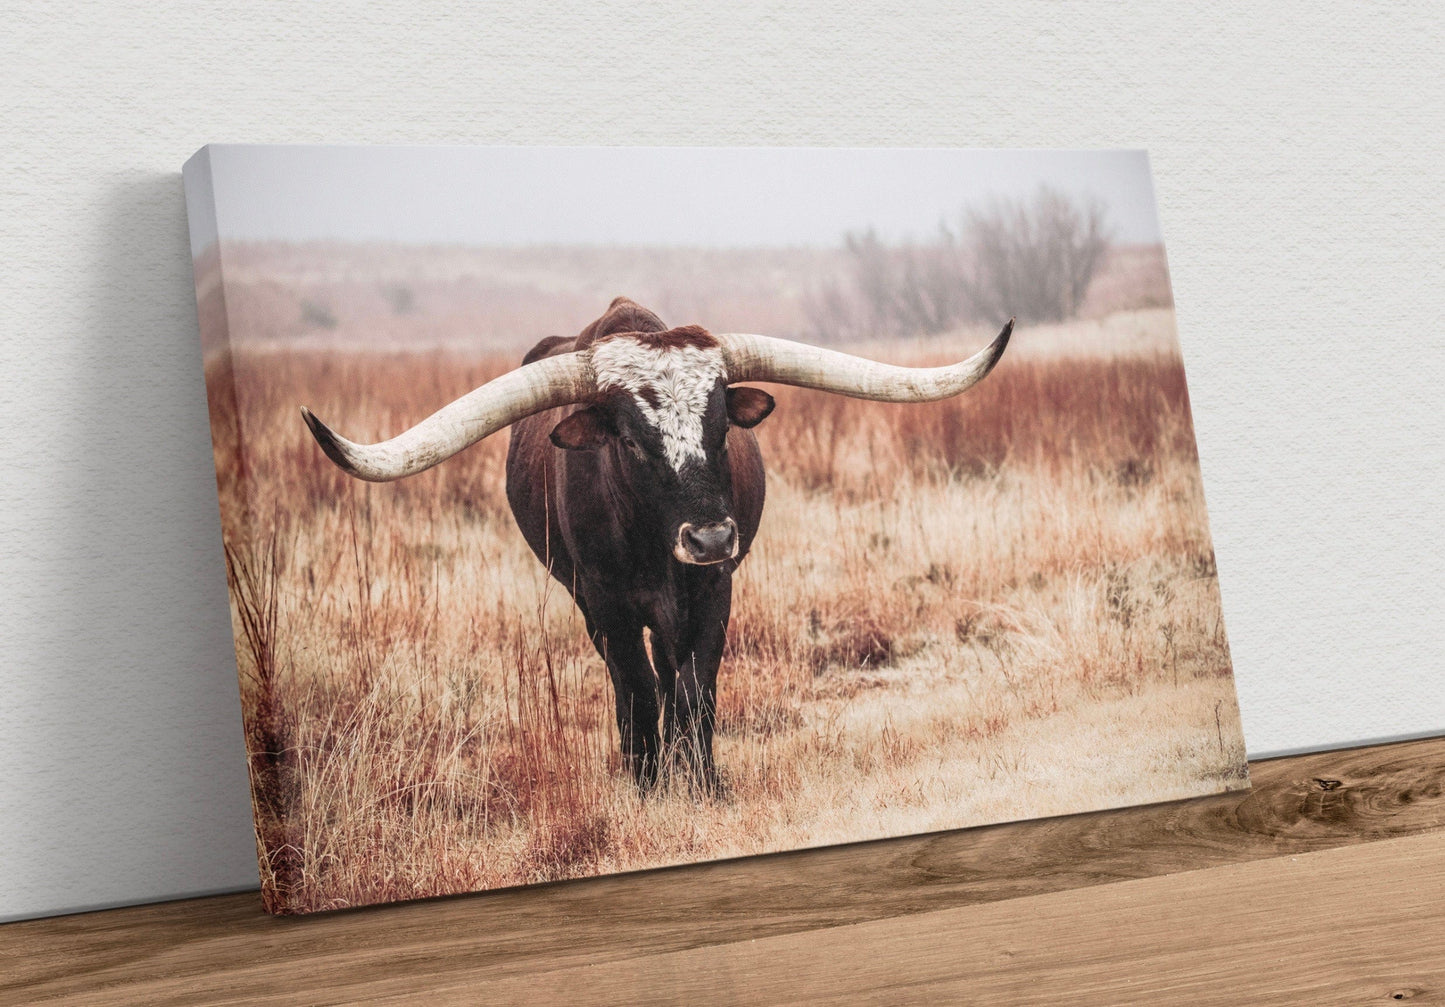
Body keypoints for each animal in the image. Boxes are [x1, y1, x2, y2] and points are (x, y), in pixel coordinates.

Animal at [302, 298, 1011, 793]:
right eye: (631, 440)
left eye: (721, 425)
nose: (710, 535)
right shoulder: (607, 606)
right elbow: (636, 688)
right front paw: (647, 784)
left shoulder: (716, 590)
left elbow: (696, 688)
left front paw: (704, 784)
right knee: (630, 681)